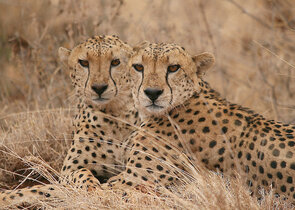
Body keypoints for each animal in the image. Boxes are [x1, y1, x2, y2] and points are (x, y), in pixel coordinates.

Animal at [0, 35, 140, 206]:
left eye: (115, 62)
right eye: (84, 63)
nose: (99, 87)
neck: (113, 114)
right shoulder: (67, 172)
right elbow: (82, 173)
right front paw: (94, 189)